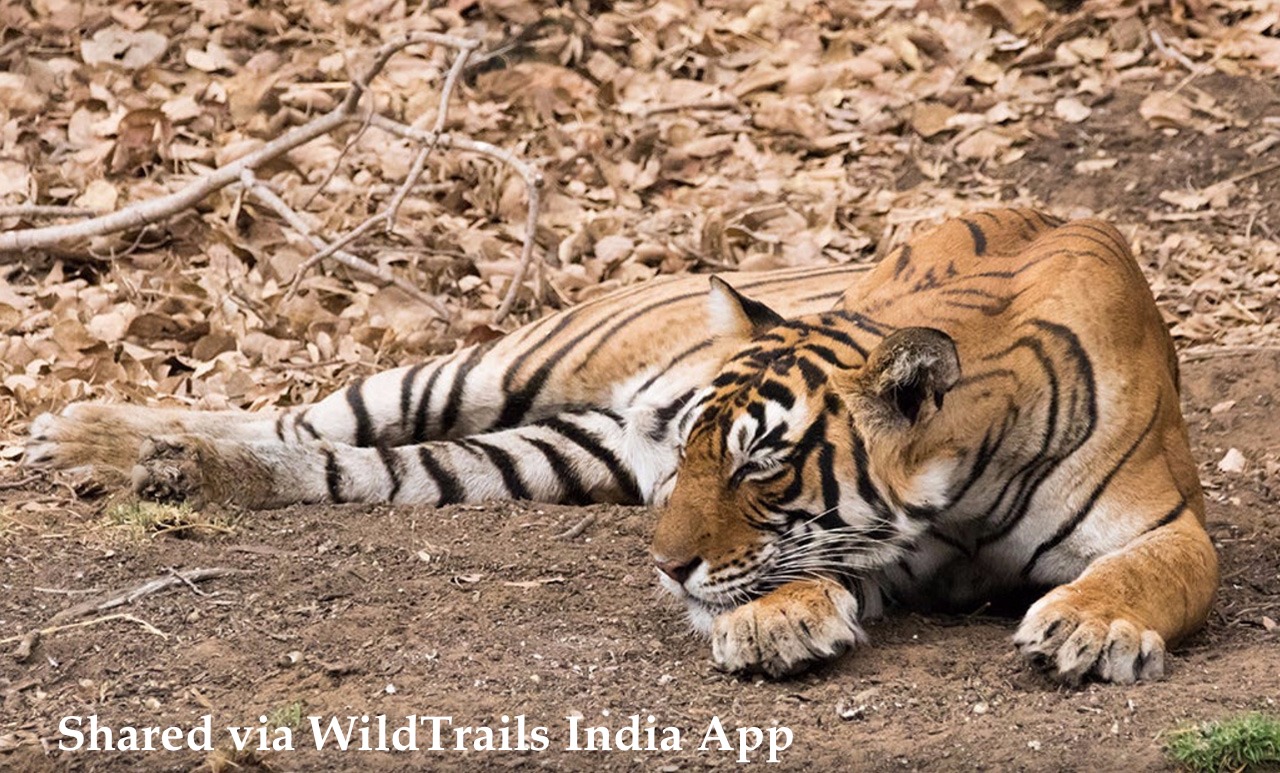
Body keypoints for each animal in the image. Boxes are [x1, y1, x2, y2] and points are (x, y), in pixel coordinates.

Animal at [24, 208, 1213, 685]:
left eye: (760, 461)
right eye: (700, 451)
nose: (662, 564)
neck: (962, 488)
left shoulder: (1171, 524)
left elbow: (1147, 572)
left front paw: (1089, 629)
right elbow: (791, 576)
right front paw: (773, 625)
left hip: (540, 449)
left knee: (328, 461)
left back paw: (166, 465)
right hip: (499, 366)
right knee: (309, 419)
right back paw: (97, 436)